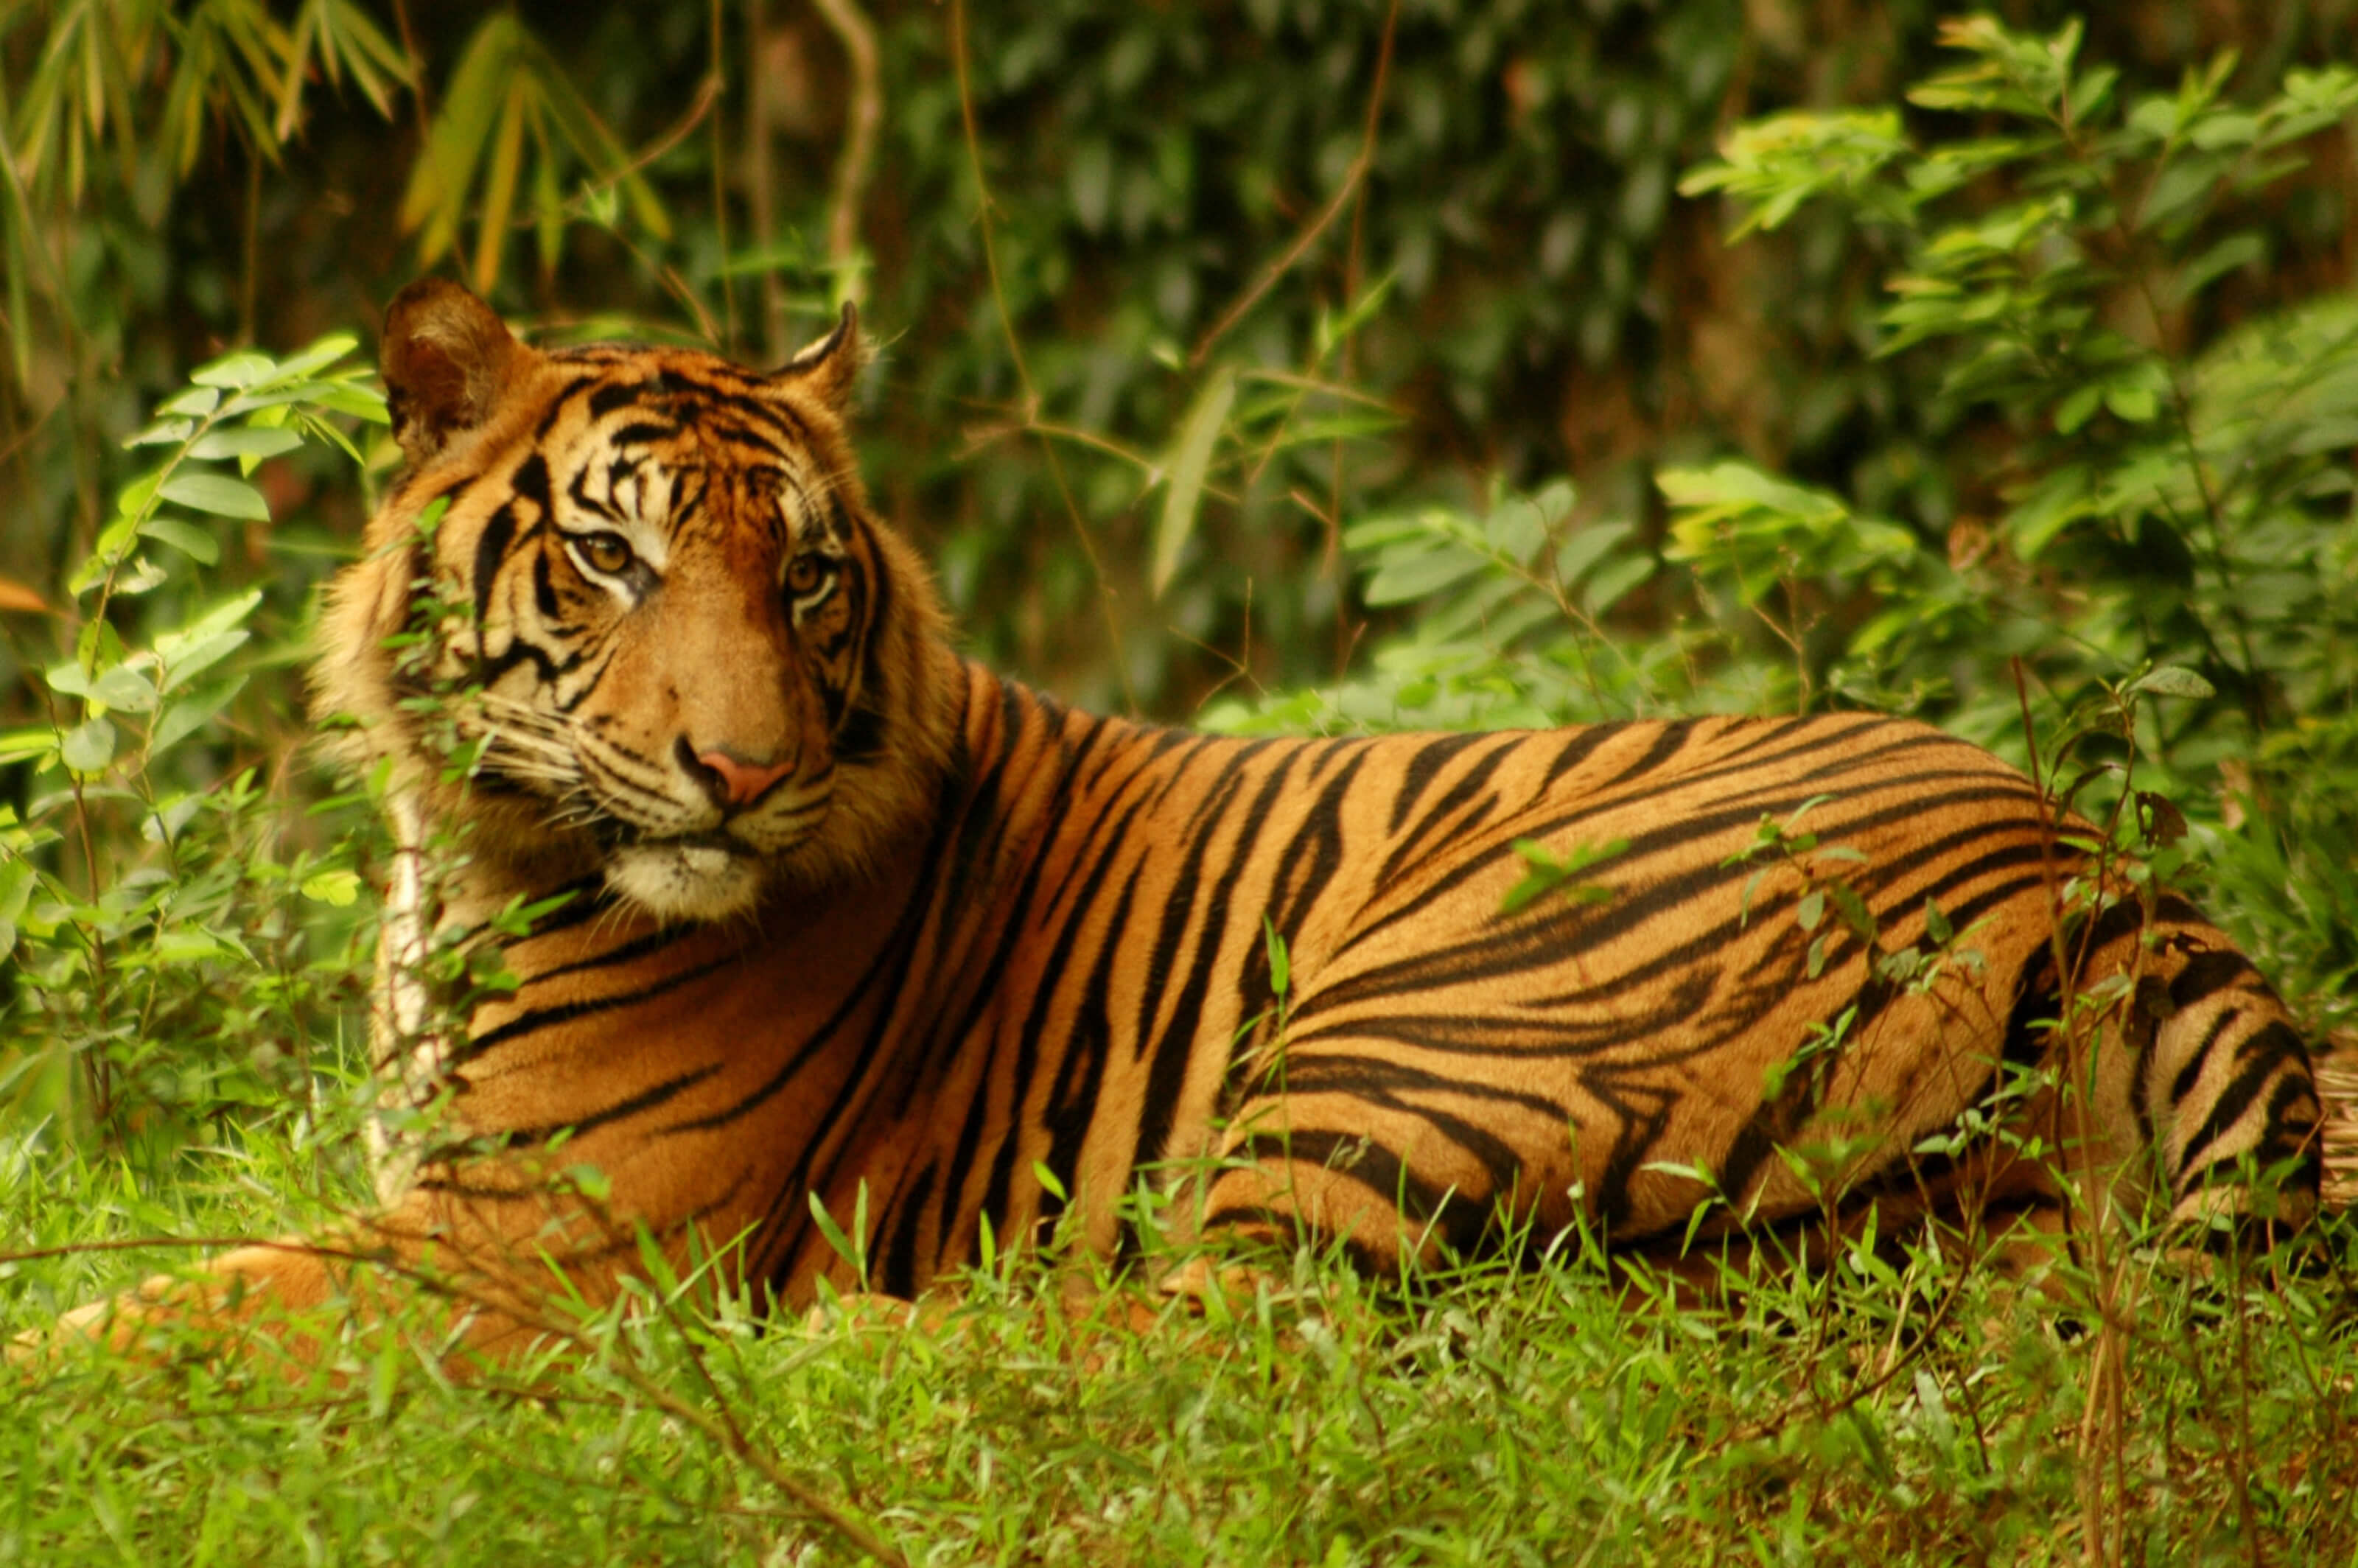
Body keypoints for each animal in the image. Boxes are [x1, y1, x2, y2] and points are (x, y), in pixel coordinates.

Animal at [50, 281, 2320, 1358]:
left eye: (805, 579)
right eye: (615, 563)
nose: (746, 774)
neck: (475, 860)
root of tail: (2095, 860)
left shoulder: (535, 1243)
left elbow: (156, 1319)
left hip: (1447, 1002)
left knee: (1227, 1326)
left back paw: (866, 1337)